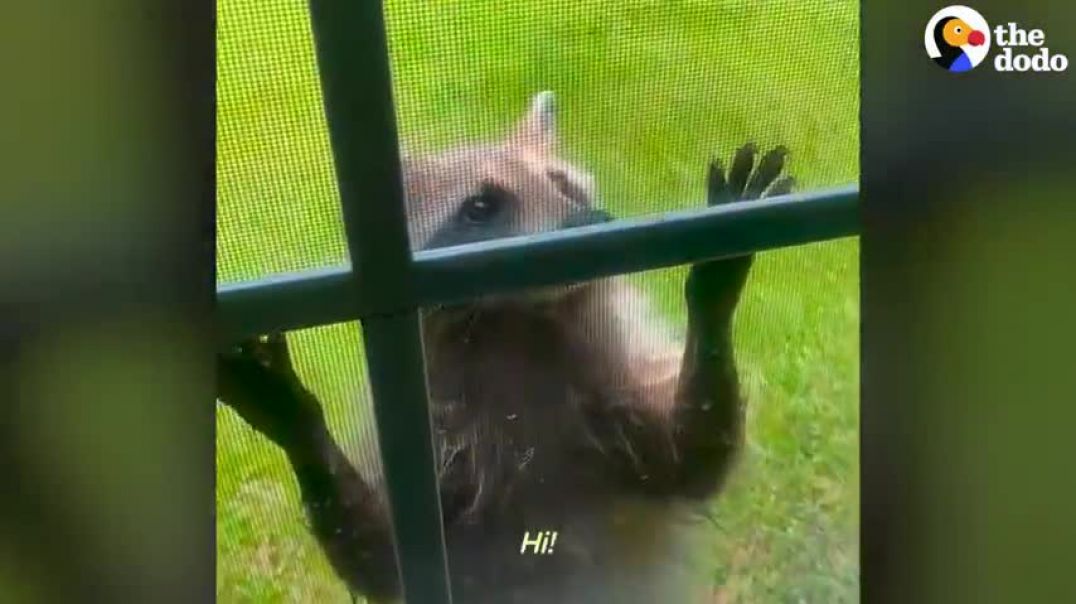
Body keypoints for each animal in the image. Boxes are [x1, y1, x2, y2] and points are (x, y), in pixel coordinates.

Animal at [216, 90, 791, 602]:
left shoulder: (621, 385)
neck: (516, 327)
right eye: (481, 206)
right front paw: (296, 420)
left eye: (565, 186)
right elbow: (382, 563)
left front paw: (714, 279)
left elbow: (696, 458)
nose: (595, 222)